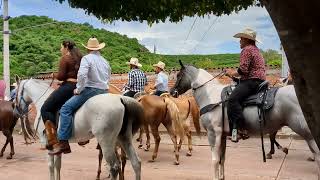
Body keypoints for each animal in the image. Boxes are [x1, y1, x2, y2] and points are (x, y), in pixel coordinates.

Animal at [15, 78, 143, 180]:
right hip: (123, 138)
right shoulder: (57, 145)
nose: (16, 111)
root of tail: (120, 99)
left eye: (14, 92)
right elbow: (58, 165)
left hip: (106, 142)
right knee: (136, 163)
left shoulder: (46, 142)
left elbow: (51, 166)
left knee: (114, 167)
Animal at [171, 61, 318, 179]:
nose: (172, 92)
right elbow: (222, 159)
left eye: (178, 75)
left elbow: (214, 160)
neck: (210, 96)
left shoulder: (213, 134)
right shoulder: (222, 136)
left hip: (307, 133)